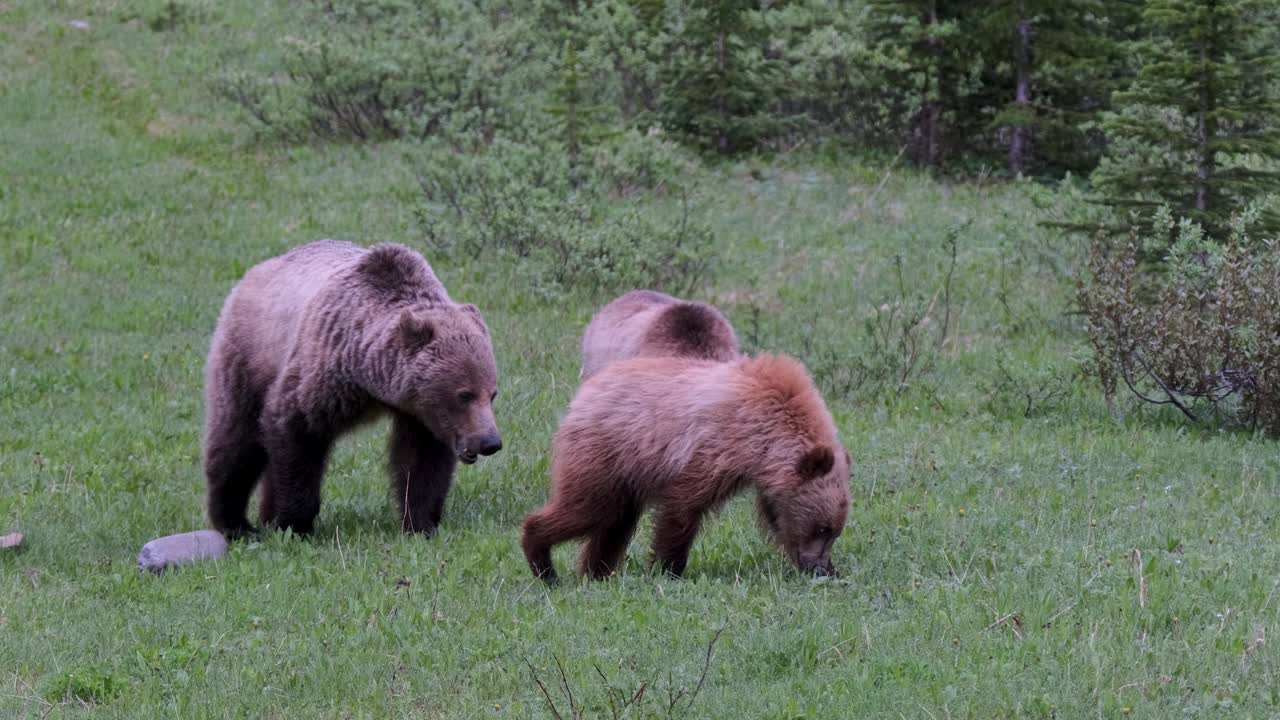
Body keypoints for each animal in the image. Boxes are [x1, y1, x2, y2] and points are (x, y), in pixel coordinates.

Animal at [202, 238, 501, 535]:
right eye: (465, 394)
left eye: (492, 394)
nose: (490, 442)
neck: (370, 379)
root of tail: (255, 271)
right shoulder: (325, 373)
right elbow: (295, 433)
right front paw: (295, 522)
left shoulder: (421, 414)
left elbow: (422, 462)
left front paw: (422, 523)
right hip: (249, 354)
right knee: (236, 438)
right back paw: (234, 523)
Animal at [519, 351, 849, 579]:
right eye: (823, 528)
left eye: (833, 531)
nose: (821, 568)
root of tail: (584, 394)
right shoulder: (713, 447)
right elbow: (682, 508)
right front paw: (667, 568)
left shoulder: (766, 478)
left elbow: (775, 516)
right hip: (603, 456)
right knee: (586, 509)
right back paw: (544, 565)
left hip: (624, 475)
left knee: (615, 523)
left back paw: (596, 572)